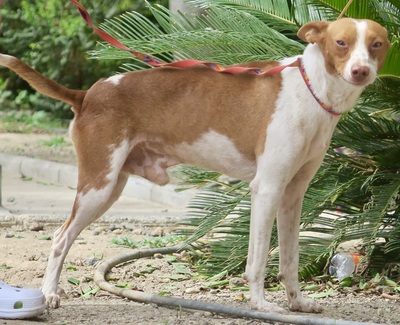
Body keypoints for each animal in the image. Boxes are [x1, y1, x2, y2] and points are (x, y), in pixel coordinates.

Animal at [0, 18, 390, 312]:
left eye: (377, 44)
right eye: (341, 42)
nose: (360, 71)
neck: (311, 90)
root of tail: (86, 95)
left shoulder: (293, 195)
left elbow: (290, 259)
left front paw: (296, 303)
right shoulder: (266, 189)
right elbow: (257, 260)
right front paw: (261, 306)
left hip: (111, 186)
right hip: (98, 185)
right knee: (60, 237)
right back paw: (49, 292)